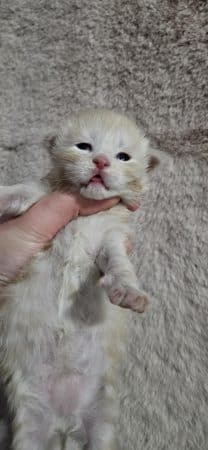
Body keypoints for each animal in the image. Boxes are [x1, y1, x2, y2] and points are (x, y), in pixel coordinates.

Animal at [0, 109, 161, 450]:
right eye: (84, 146)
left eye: (123, 156)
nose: (101, 161)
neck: (89, 213)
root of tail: (64, 423)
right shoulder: (46, 196)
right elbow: (21, 192)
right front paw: (1, 195)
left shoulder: (112, 236)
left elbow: (118, 261)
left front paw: (128, 290)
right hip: (30, 422)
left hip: (101, 420)